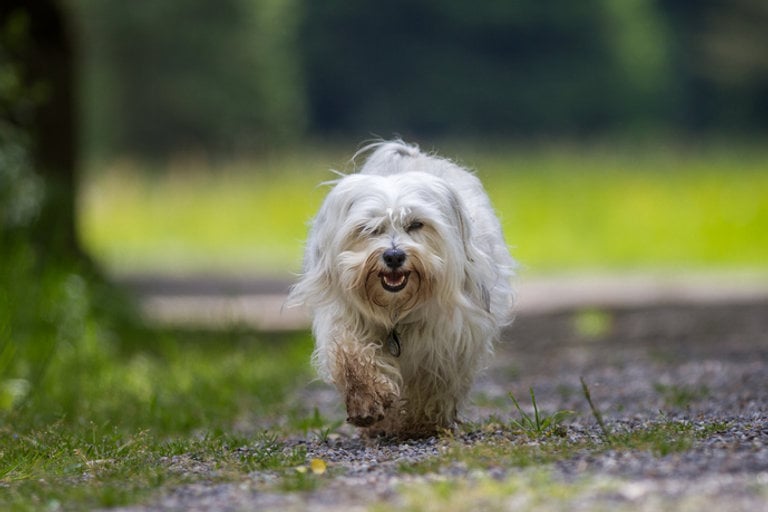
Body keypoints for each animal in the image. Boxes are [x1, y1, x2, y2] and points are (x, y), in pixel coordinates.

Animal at [288, 140, 516, 436]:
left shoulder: (450, 339)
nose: (394, 256)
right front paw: (367, 404)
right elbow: (351, 355)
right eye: (370, 228)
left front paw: (422, 422)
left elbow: (434, 382)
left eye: (416, 224)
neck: (395, 309)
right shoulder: (343, 318)